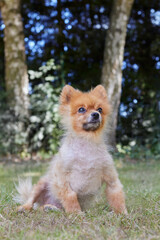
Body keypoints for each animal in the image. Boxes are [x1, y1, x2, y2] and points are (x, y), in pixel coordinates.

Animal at [15, 84, 127, 214]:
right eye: (81, 109)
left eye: (100, 109)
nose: (95, 114)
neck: (86, 143)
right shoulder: (62, 179)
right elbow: (70, 196)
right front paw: (76, 213)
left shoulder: (111, 179)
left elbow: (117, 196)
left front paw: (122, 213)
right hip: (42, 183)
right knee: (31, 200)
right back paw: (24, 207)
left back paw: (49, 207)